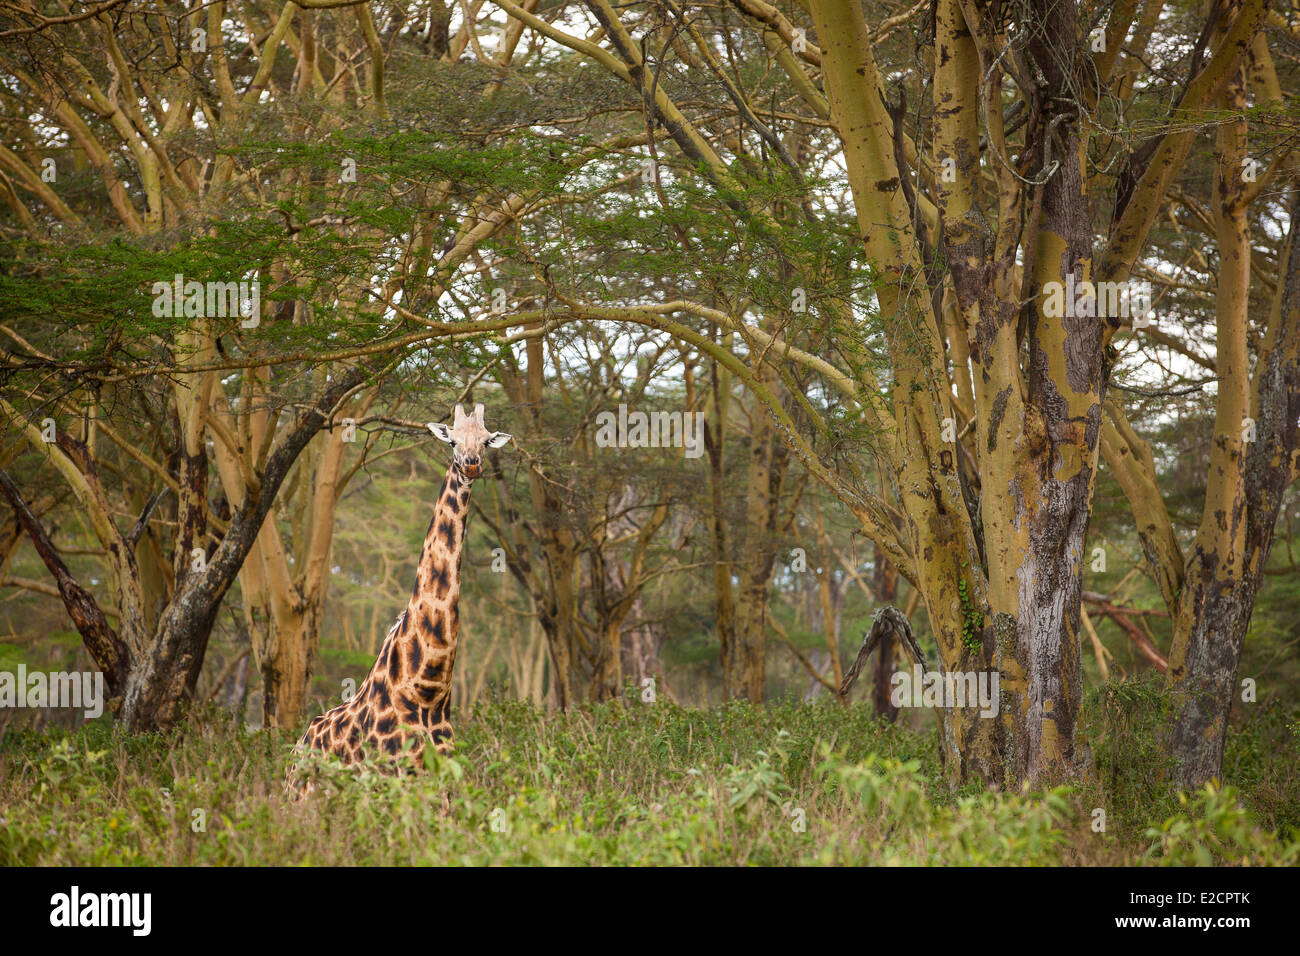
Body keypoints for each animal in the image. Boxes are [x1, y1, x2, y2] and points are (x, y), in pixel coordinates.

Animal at [287, 400, 509, 790]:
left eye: (485, 441)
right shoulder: (390, 775)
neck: (426, 690)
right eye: (452, 441)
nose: (471, 464)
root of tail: (298, 748)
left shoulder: (442, 778)